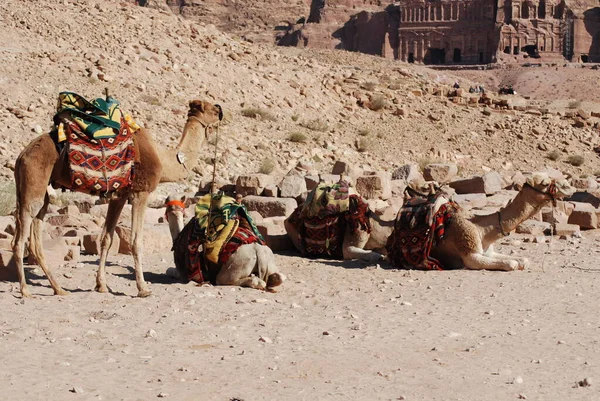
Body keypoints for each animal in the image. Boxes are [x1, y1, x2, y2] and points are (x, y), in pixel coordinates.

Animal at [11, 98, 223, 296]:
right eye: (212, 110)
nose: (221, 111)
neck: (165, 160)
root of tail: (21, 155)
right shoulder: (140, 191)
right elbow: (136, 241)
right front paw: (143, 288)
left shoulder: (119, 196)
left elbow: (106, 238)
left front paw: (102, 285)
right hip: (34, 178)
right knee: (20, 237)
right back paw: (25, 290)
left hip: (36, 187)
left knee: (35, 235)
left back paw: (59, 289)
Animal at [386, 173, 576, 270]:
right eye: (544, 182)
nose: (569, 186)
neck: (482, 230)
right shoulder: (470, 255)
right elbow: (512, 264)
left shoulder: (489, 252)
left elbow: (522, 260)